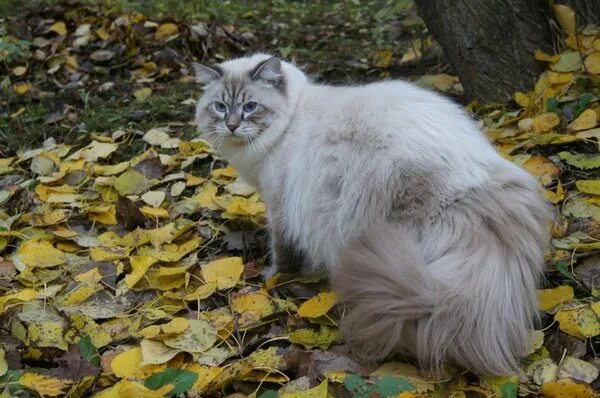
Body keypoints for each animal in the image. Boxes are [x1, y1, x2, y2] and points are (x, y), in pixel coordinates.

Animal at [195, 53, 552, 376]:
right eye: (220, 107)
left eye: (250, 107)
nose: (231, 125)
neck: (290, 121)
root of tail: (479, 190)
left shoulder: (279, 209)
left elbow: (282, 255)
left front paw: (271, 278)